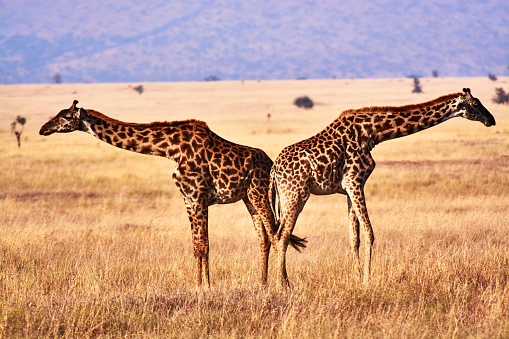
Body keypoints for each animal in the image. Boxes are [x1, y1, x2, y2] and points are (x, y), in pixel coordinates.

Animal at [39, 99, 306, 288]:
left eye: (65, 116)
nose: (43, 129)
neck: (171, 150)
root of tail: (271, 163)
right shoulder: (188, 199)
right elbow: (197, 245)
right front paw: (199, 285)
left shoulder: (197, 196)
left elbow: (203, 245)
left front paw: (204, 288)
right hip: (248, 197)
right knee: (264, 237)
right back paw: (263, 284)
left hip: (260, 193)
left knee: (275, 235)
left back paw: (281, 285)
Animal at [268, 89, 494, 288]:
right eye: (475, 104)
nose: (491, 120)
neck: (373, 133)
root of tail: (274, 170)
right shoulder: (354, 181)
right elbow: (369, 232)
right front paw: (368, 280)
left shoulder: (349, 187)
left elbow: (354, 238)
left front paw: (357, 278)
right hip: (295, 195)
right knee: (281, 236)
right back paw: (283, 286)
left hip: (287, 197)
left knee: (279, 235)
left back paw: (283, 282)